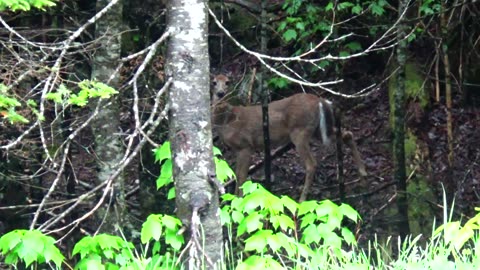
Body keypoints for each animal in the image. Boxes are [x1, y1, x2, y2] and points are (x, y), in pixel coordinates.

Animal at [211, 74, 368, 200]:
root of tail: (320, 101)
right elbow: (237, 174)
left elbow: (241, 175)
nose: (220, 93)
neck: (226, 120)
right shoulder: (237, 149)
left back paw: (302, 199)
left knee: (311, 164)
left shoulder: (245, 145)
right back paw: (363, 174)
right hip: (317, 130)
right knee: (347, 134)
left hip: (299, 132)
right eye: (213, 82)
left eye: (227, 82)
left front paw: (238, 202)